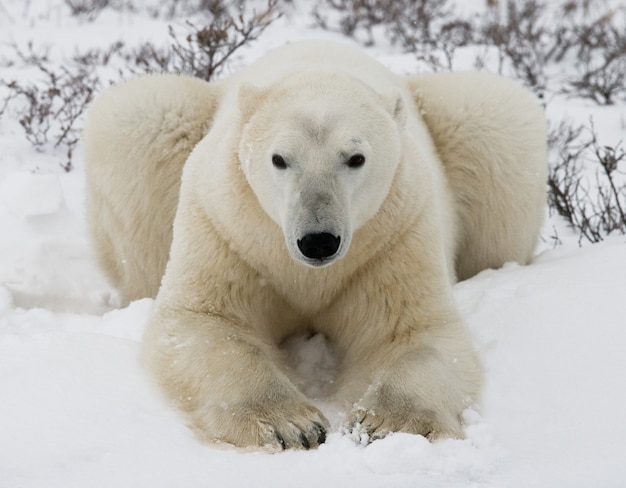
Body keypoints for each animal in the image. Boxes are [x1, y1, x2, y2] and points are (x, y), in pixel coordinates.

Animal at [84, 41, 544, 450]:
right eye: (279, 159)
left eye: (355, 158)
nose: (318, 241)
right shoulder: (228, 230)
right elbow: (204, 321)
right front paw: (290, 425)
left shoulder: (394, 237)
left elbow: (412, 331)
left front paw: (385, 423)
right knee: (137, 115)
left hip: (470, 126)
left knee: (496, 120)